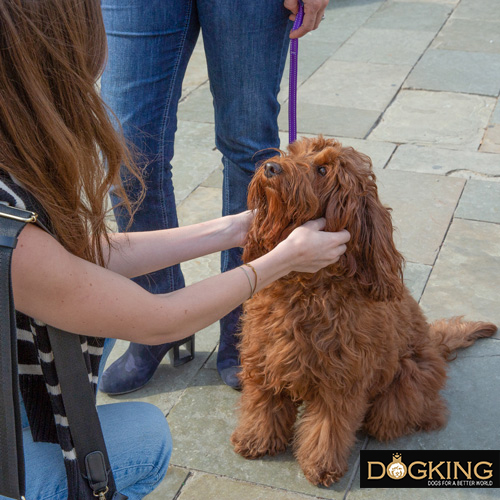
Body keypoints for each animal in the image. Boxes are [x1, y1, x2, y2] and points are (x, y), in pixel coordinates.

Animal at [230, 135, 496, 486]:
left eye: (323, 169)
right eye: (293, 152)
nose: (271, 167)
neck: (307, 287)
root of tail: (436, 345)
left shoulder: (342, 378)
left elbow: (328, 426)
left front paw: (320, 465)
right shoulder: (263, 354)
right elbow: (263, 403)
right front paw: (255, 439)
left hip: (405, 382)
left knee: (417, 414)